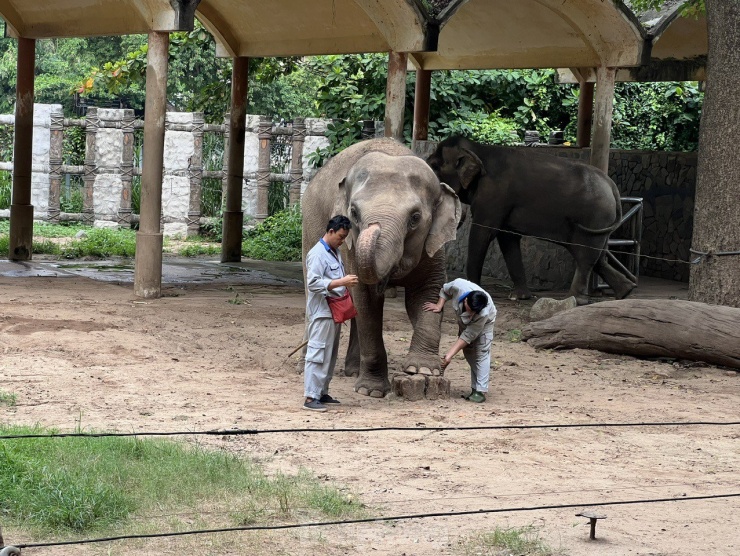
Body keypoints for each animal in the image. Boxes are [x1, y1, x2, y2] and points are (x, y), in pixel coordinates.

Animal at [300, 139, 460, 400]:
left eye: (415, 217)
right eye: (354, 213)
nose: (372, 226)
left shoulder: (434, 247)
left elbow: (427, 293)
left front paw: (424, 370)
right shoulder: (352, 249)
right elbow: (366, 302)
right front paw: (371, 391)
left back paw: (353, 371)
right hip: (310, 225)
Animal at [428, 137, 636, 306]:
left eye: (435, 166)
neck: (477, 149)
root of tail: (612, 186)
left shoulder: (493, 196)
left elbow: (483, 233)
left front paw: (474, 291)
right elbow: (507, 239)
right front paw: (519, 297)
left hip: (594, 216)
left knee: (585, 255)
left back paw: (577, 299)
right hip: (601, 223)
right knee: (596, 256)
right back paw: (626, 292)